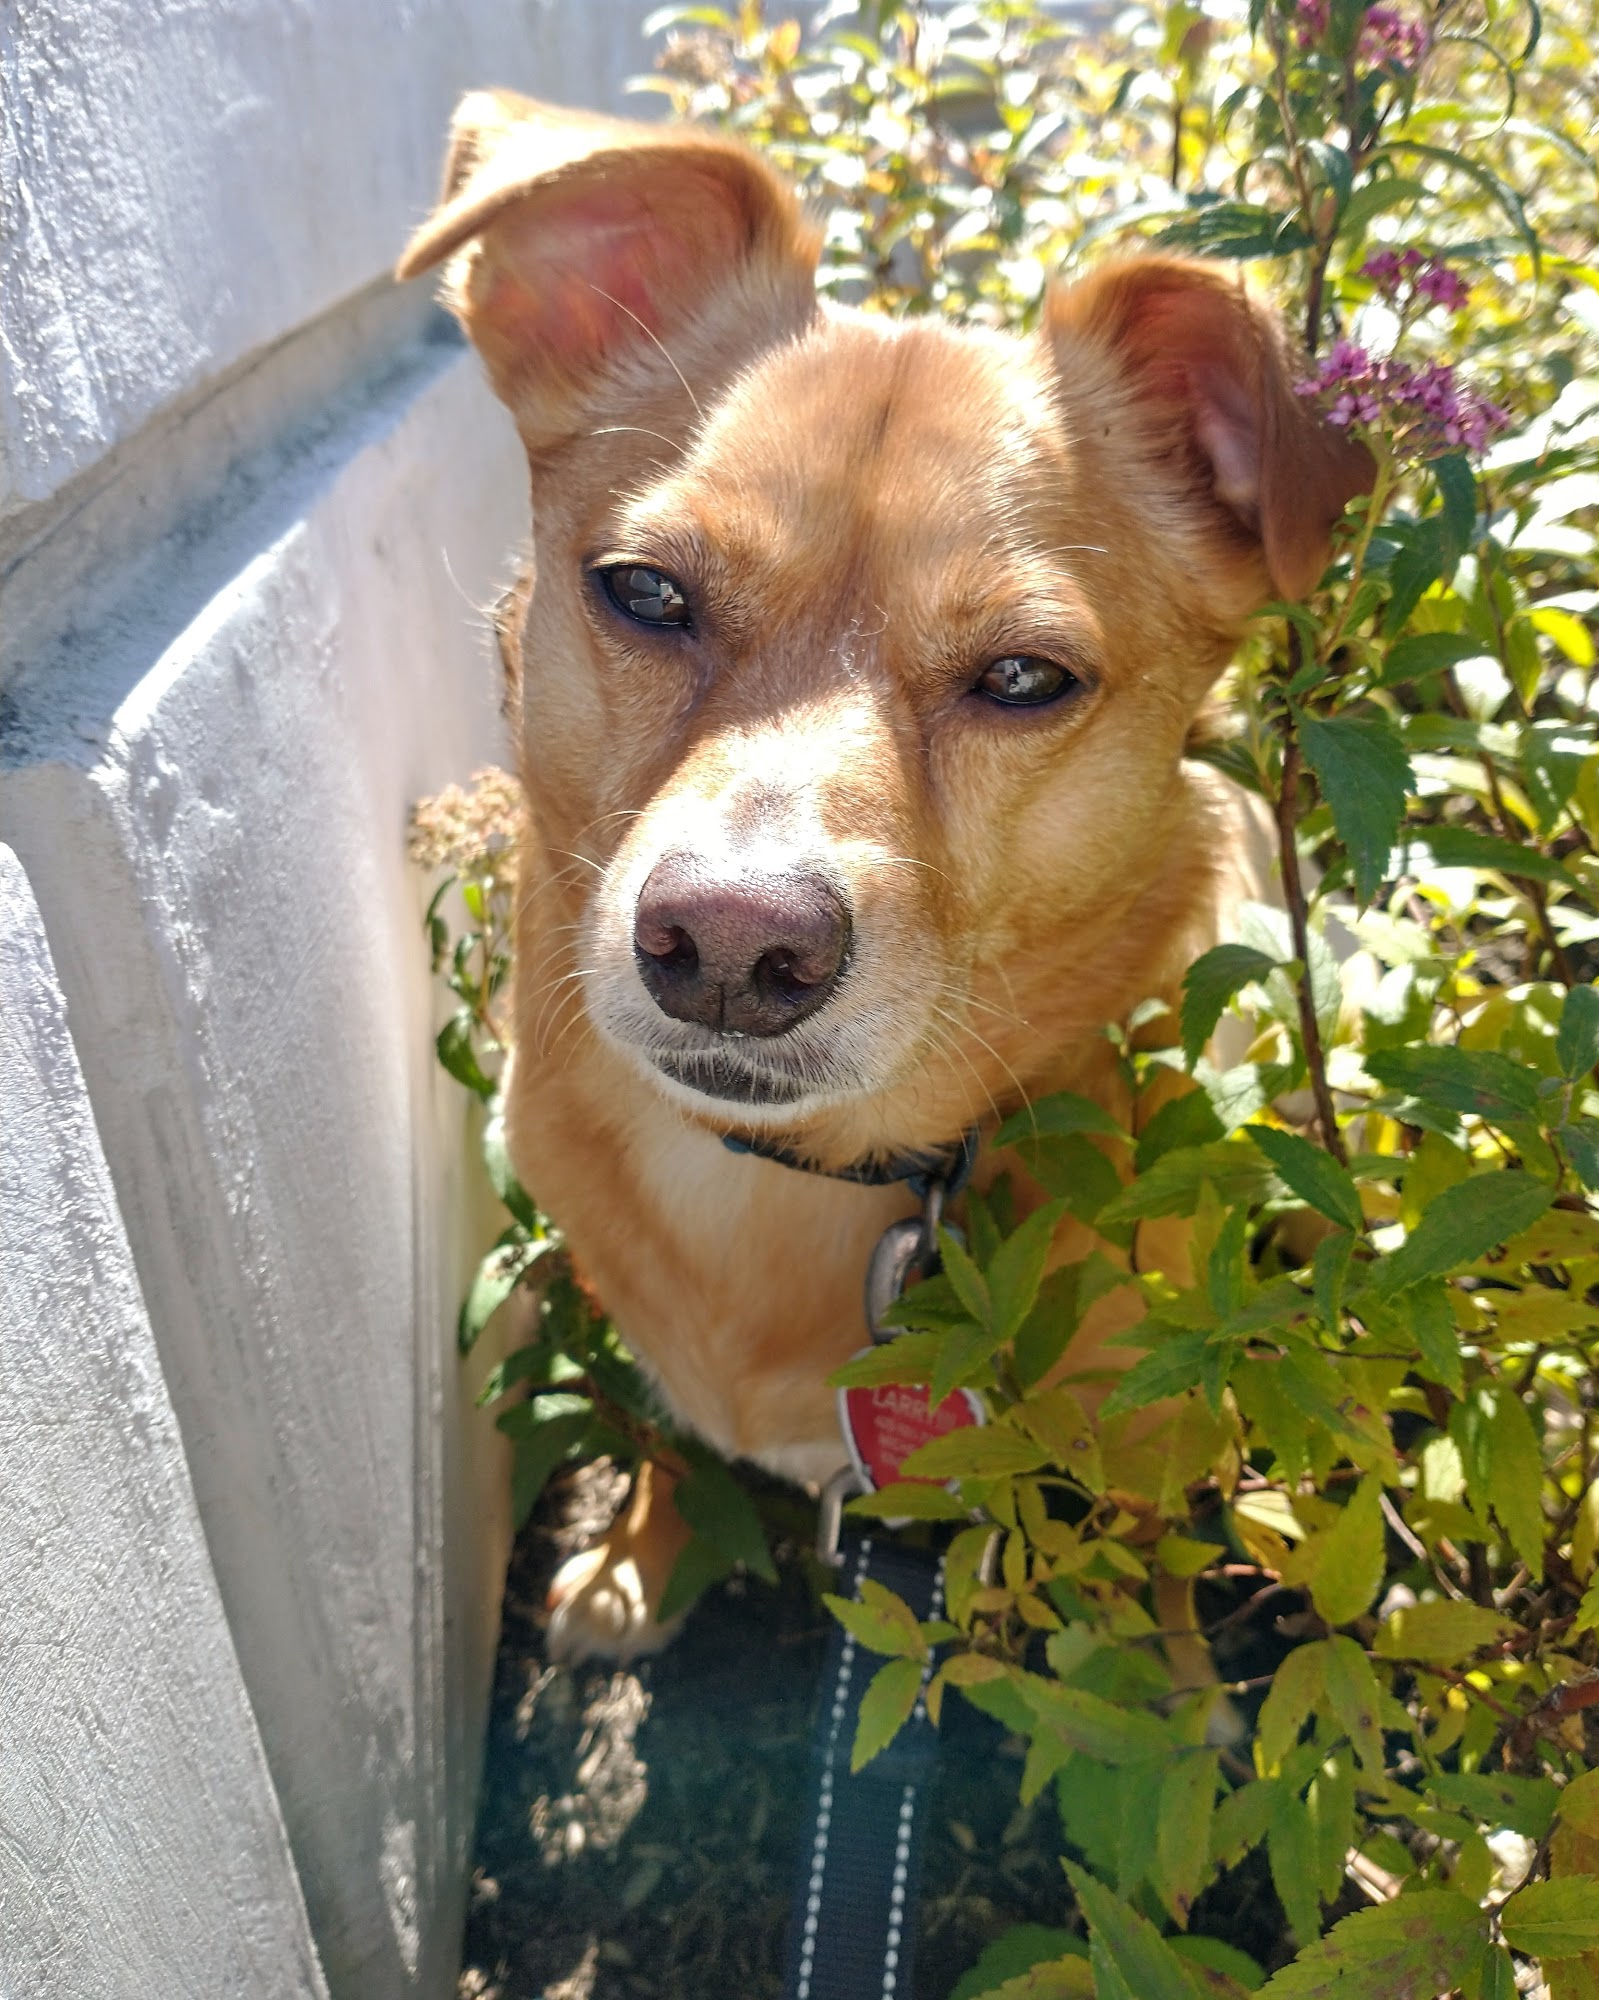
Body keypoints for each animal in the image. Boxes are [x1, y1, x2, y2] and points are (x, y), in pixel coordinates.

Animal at [398, 91, 1369, 1661]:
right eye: (645, 592)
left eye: (1024, 678)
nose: (733, 946)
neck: (779, 1183)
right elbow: (658, 1433)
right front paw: (635, 1557)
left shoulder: (1138, 1448)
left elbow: (1139, 1582)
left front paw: (1178, 1687)